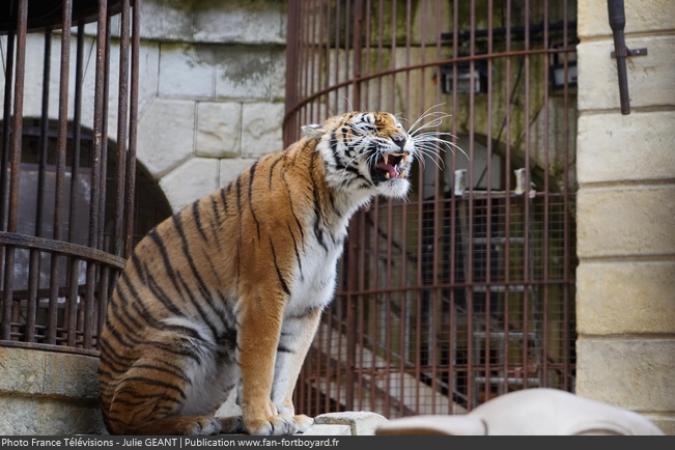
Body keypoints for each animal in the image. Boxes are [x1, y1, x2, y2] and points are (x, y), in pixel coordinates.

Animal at [96, 110, 422, 434]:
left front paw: (287, 416)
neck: (335, 205)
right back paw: (194, 423)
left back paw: (226, 421)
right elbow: (261, 364)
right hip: (179, 342)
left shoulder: (307, 306)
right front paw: (264, 420)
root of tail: (103, 396)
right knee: (125, 421)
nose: (402, 139)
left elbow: (288, 367)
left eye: (399, 125)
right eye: (368, 127)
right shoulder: (263, 294)